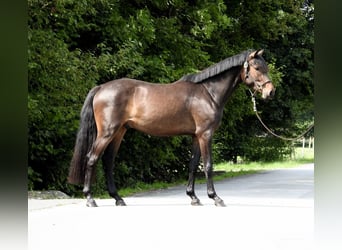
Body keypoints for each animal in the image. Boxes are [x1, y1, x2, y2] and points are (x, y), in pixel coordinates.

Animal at [69, 49, 276, 207]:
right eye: (257, 68)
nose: (270, 92)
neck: (208, 93)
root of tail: (101, 88)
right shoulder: (206, 135)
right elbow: (208, 166)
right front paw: (215, 197)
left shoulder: (196, 136)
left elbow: (193, 165)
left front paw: (193, 197)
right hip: (107, 132)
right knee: (92, 159)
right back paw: (90, 199)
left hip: (119, 132)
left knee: (108, 161)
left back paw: (118, 198)